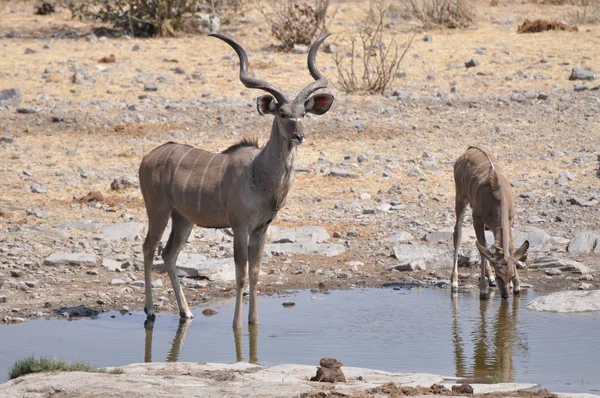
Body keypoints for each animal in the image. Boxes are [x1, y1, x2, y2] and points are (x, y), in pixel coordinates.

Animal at [139, 34, 336, 328]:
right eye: (282, 114)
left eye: (303, 113)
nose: (300, 136)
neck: (260, 174)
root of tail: (148, 157)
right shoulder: (240, 227)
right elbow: (241, 274)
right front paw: (237, 325)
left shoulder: (261, 229)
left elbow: (255, 273)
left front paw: (254, 321)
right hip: (158, 211)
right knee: (149, 248)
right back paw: (150, 311)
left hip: (183, 219)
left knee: (169, 254)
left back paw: (186, 312)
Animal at [450, 146, 528, 298]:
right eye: (499, 276)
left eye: (510, 276)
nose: (506, 295)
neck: (497, 198)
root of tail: (469, 149)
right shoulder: (477, 219)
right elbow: (481, 248)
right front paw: (483, 289)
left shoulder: (509, 220)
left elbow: (510, 247)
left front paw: (517, 286)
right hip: (460, 198)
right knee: (458, 233)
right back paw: (455, 282)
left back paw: (489, 278)